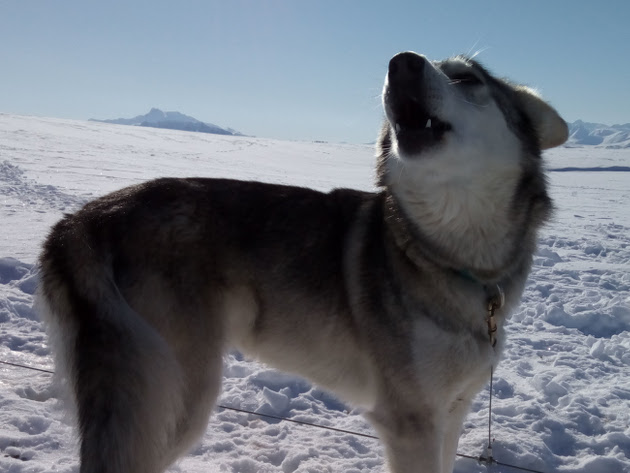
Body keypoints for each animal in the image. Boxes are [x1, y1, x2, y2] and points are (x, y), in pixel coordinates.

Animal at [37, 51, 572, 472]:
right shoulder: (411, 423)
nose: (402, 62)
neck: (448, 256)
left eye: (466, 78)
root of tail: (84, 218)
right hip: (174, 402)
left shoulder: (451, 413)